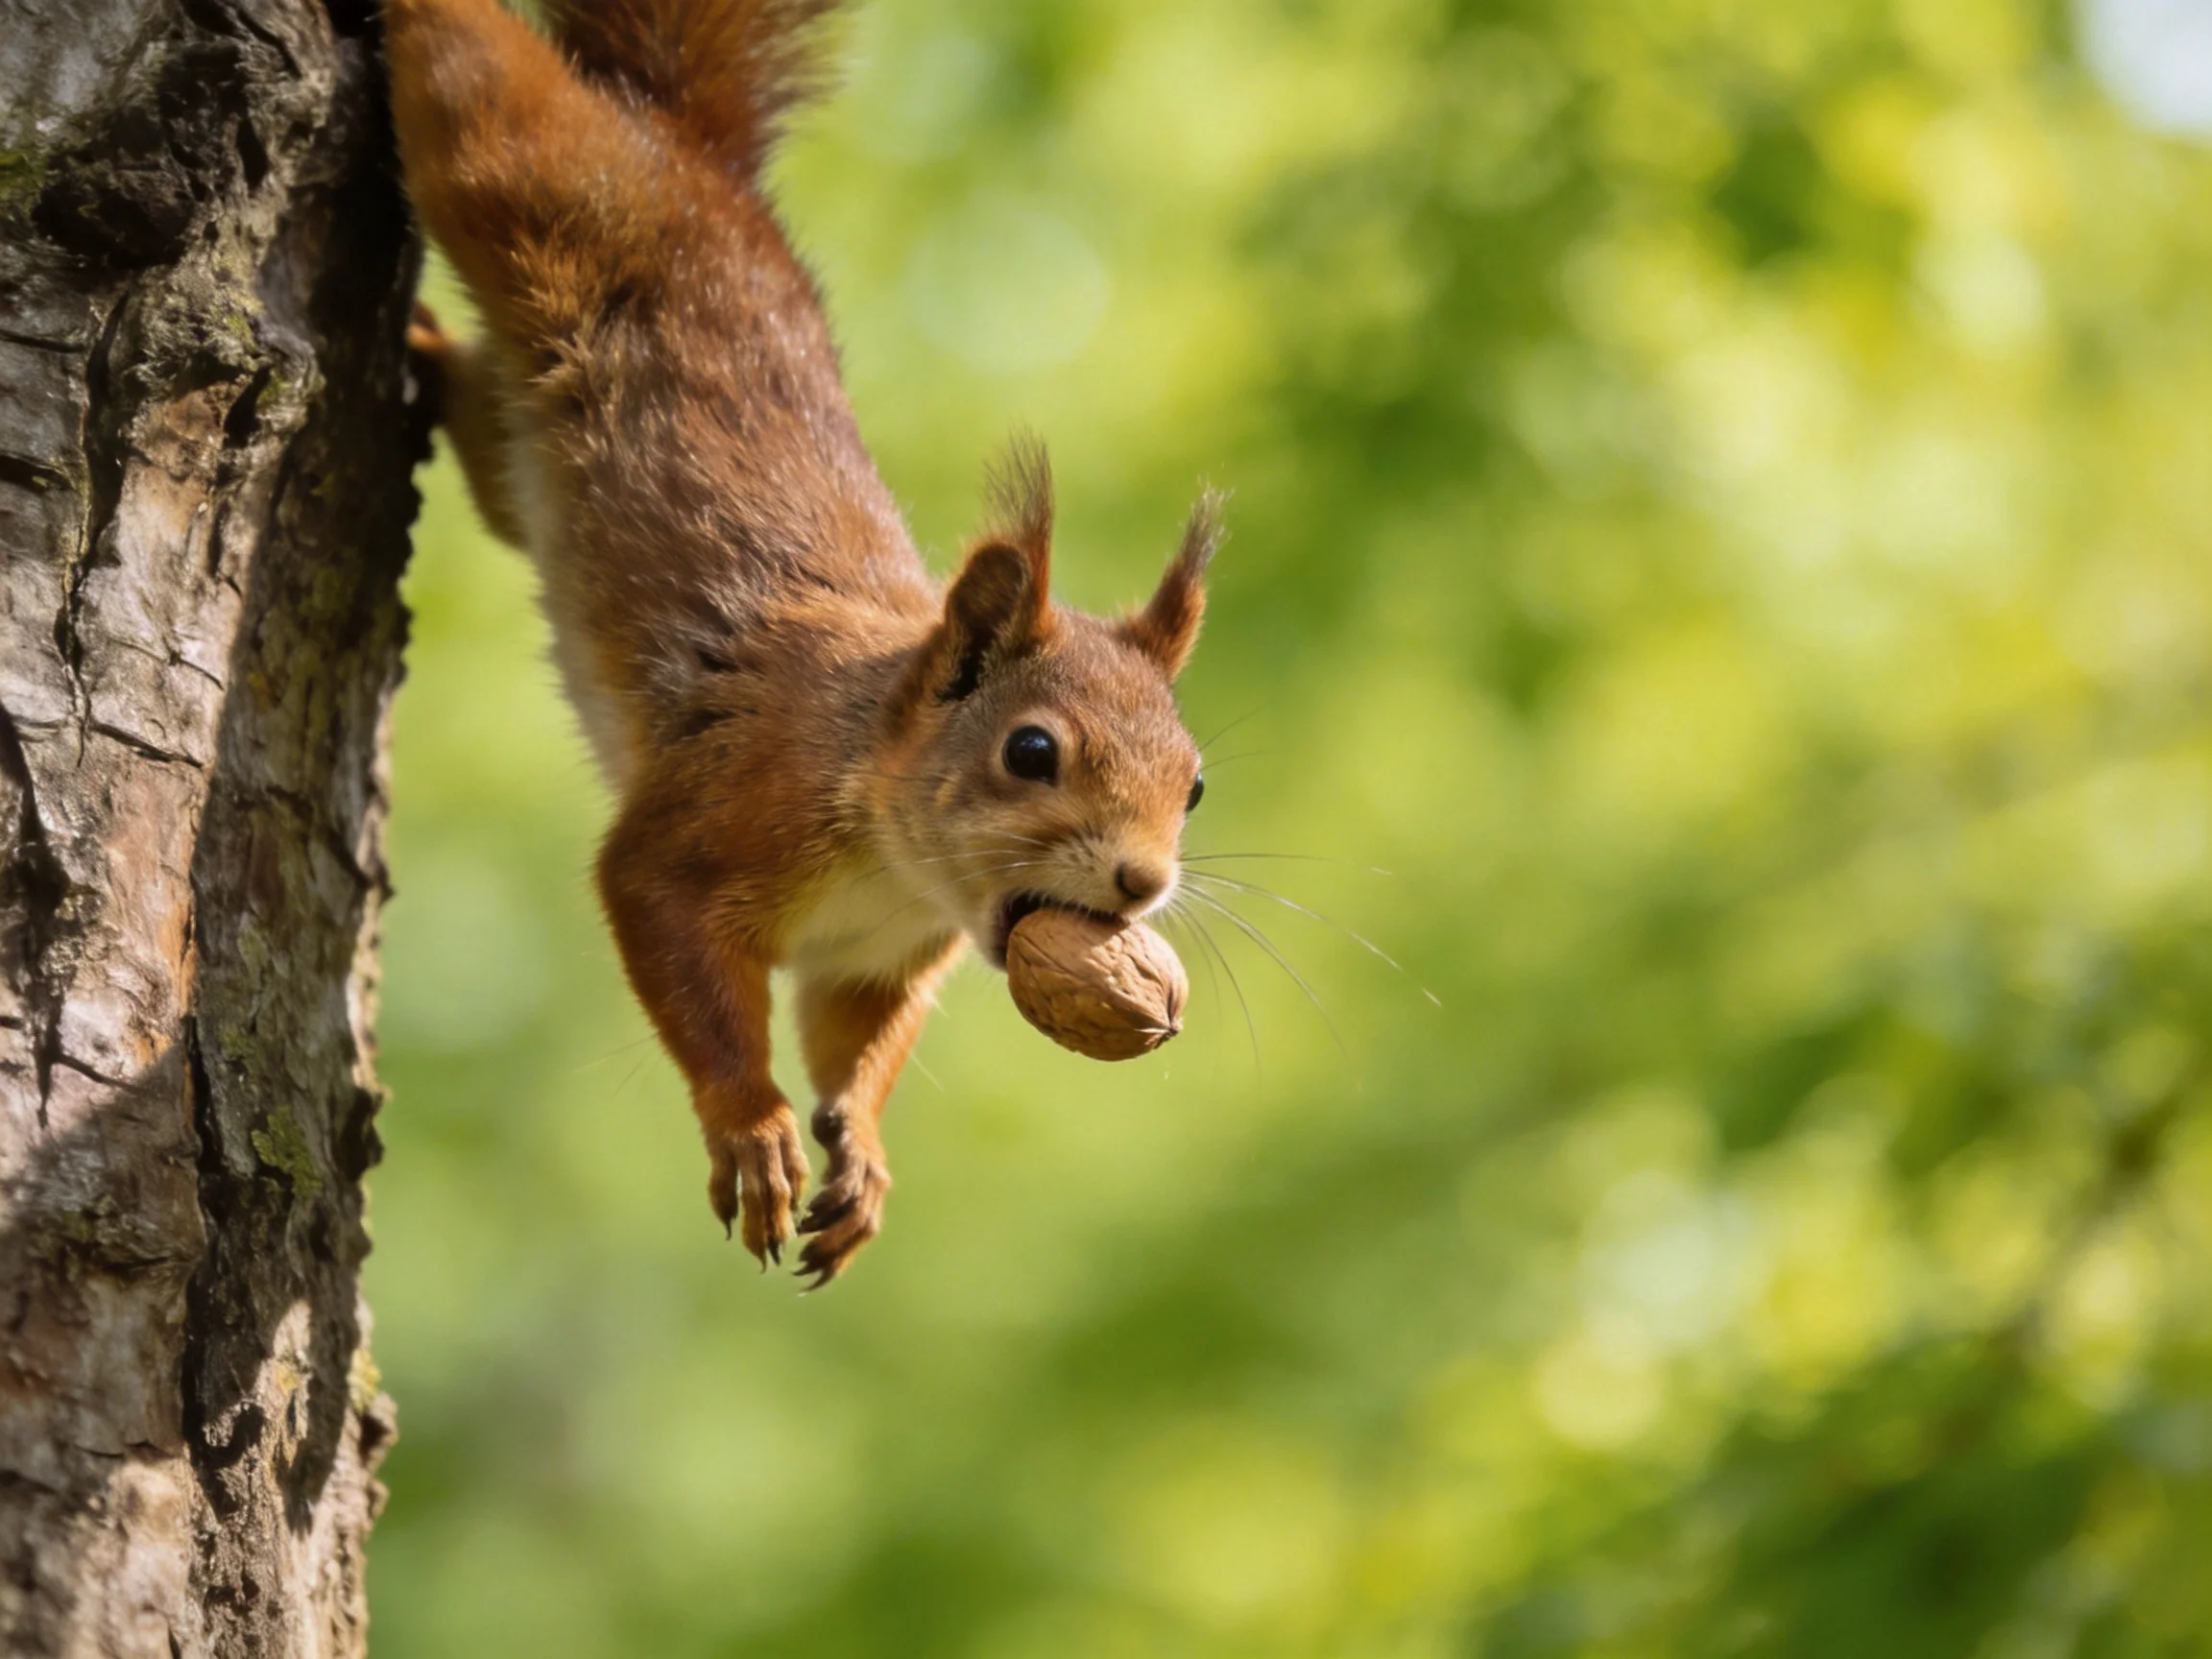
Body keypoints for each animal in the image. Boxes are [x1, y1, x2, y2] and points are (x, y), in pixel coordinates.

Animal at [383, 0, 1220, 1285]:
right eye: (1030, 752)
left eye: (1196, 786)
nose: (1143, 883)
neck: (891, 843)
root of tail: (691, 156)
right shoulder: (718, 811)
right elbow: (665, 930)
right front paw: (751, 1127)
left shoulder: (878, 957)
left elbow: (854, 1043)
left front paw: (860, 1155)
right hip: (523, 171)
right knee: (470, 76)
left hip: (513, 444)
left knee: (483, 408)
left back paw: (430, 350)